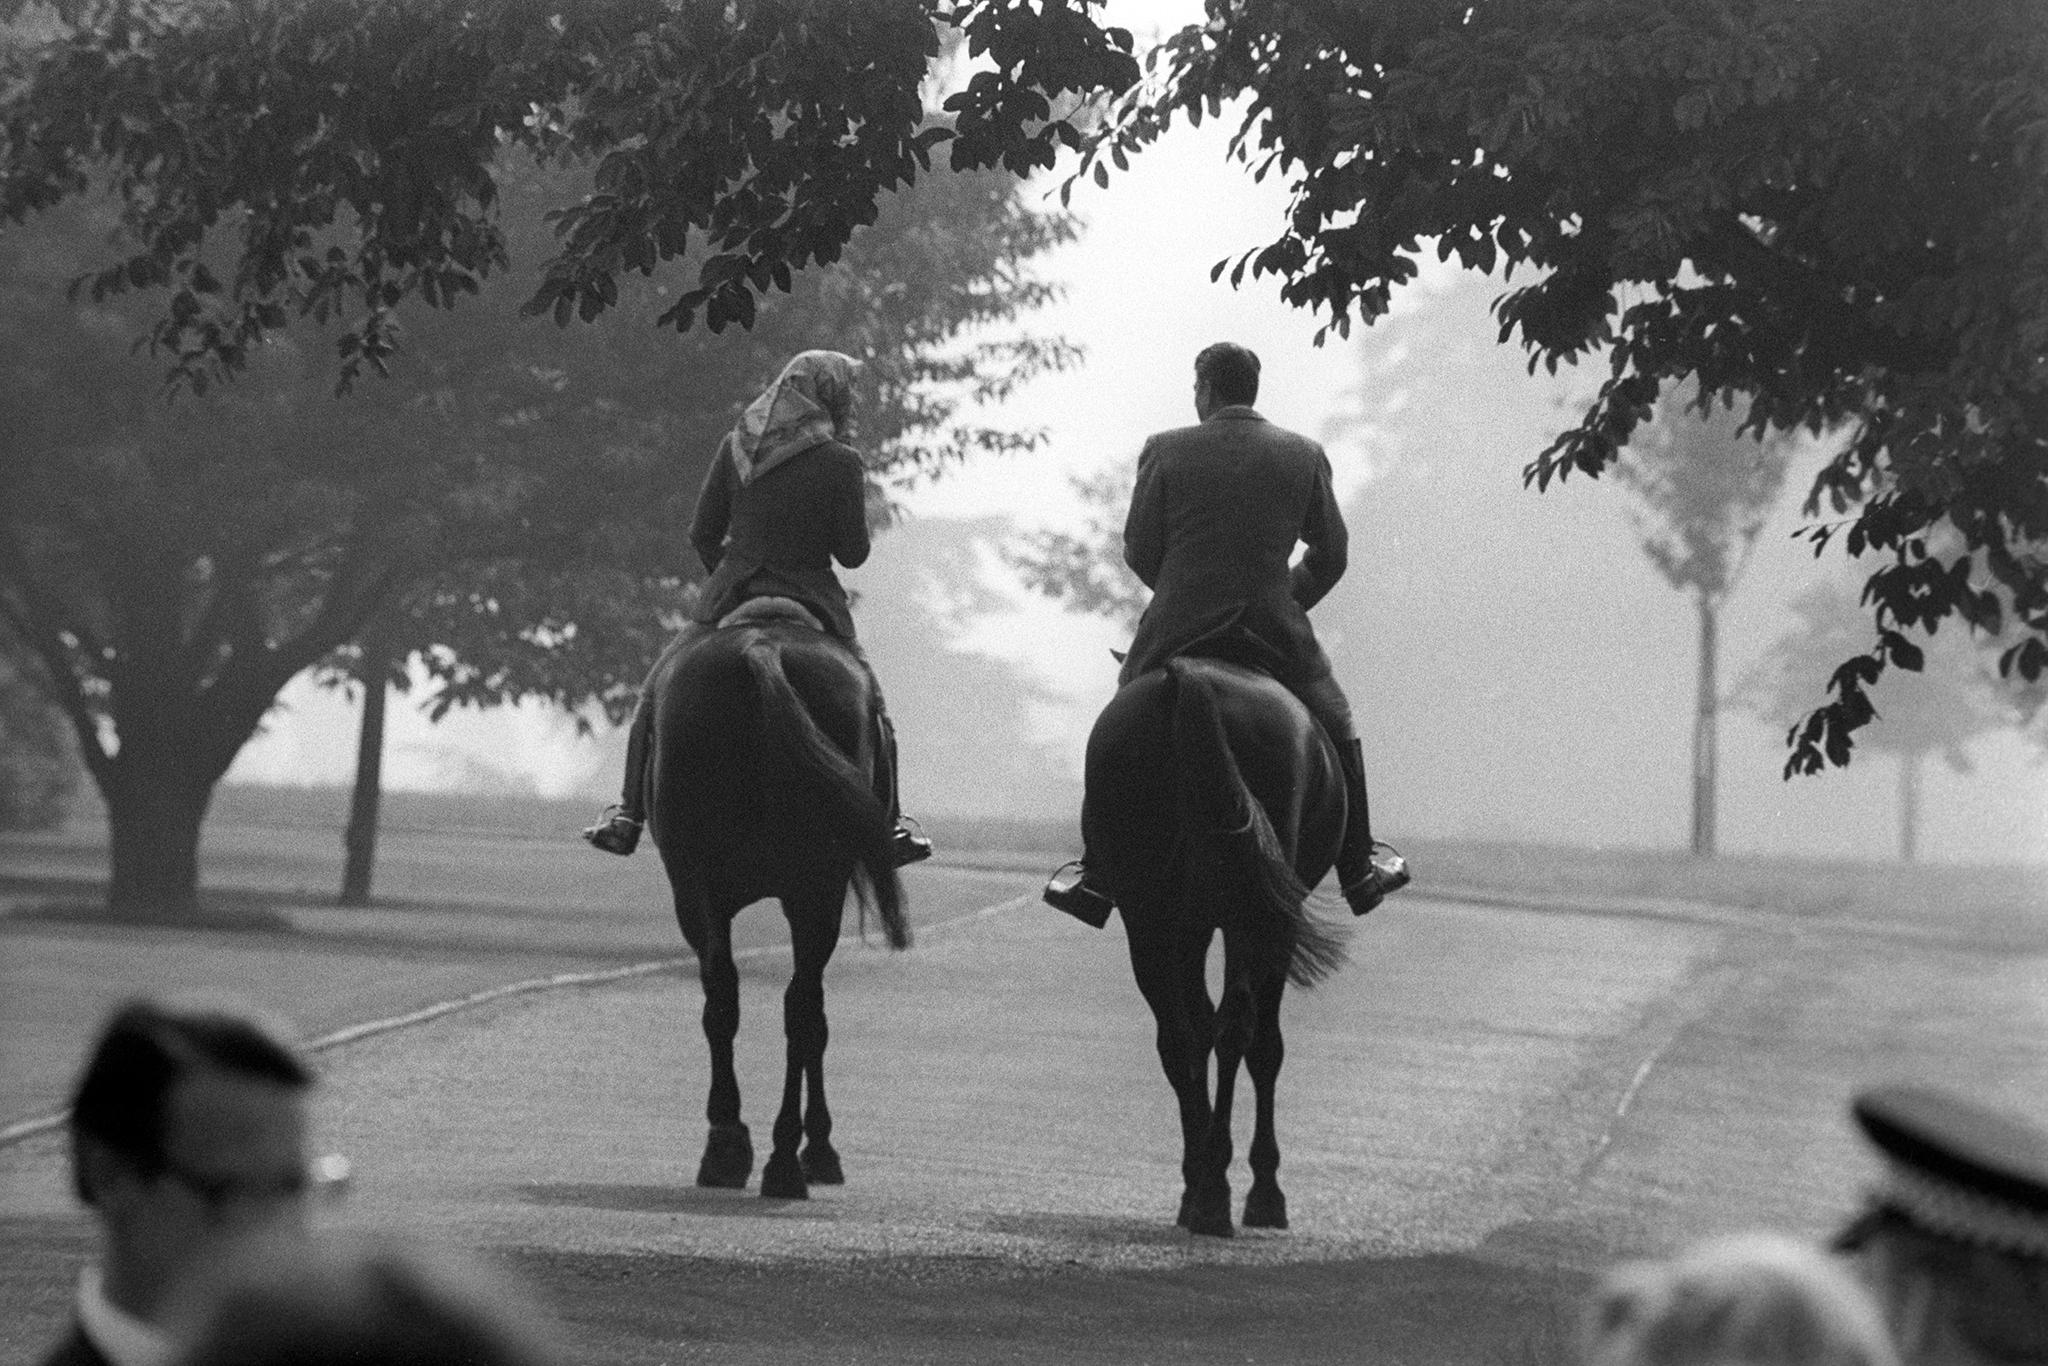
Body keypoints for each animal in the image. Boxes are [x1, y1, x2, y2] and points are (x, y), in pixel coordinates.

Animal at [643, 606, 909, 1196]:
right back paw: (786, 1157)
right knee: (801, 1008)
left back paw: (735, 1148)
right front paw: (819, 1145)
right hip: (810, 889)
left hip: (700, 884)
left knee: (732, 996)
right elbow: (816, 1019)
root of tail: (762, 649)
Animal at [1081, 651, 1351, 1236]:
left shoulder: (1188, 923)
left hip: (1149, 913)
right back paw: (1219, 1193)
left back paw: (1203, 1188)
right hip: (1250, 916)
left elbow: (1194, 1029)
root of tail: (1192, 675)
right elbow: (1265, 1045)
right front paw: (1263, 1190)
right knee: (1238, 1027)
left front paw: (1199, 1175)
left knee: (1180, 1035)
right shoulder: (1271, 921)